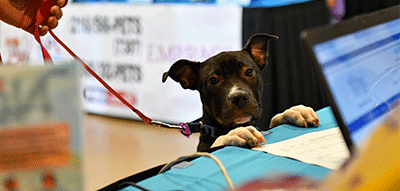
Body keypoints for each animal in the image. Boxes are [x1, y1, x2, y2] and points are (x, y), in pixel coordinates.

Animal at [162, 34, 318, 151]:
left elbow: (273, 122)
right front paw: (235, 135)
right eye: (213, 80)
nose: (239, 97)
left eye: (249, 72)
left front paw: (294, 112)